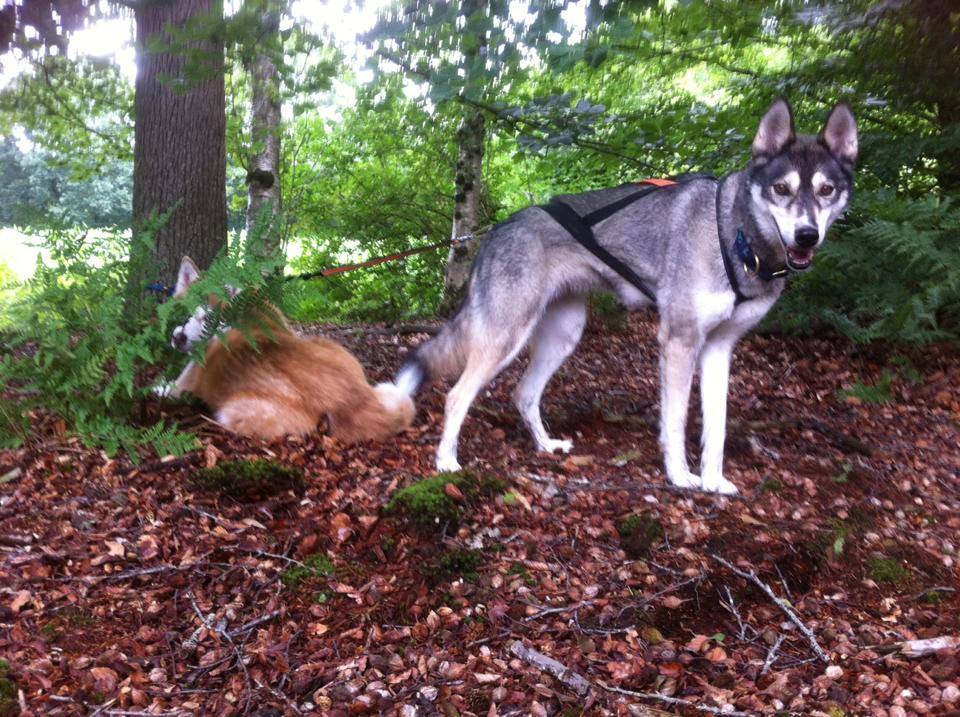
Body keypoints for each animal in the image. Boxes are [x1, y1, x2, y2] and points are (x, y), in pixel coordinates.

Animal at [394, 99, 860, 492]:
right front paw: (680, 477)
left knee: (523, 394)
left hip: (563, 336)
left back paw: (546, 446)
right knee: (457, 395)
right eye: (781, 189)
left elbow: (717, 429)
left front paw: (713, 481)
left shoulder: (719, 350)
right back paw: (446, 461)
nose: (807, 235)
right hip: (505, 336)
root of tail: (494, 232)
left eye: (827, 190)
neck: (735, 236)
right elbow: (675, 421)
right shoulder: (679, 342)